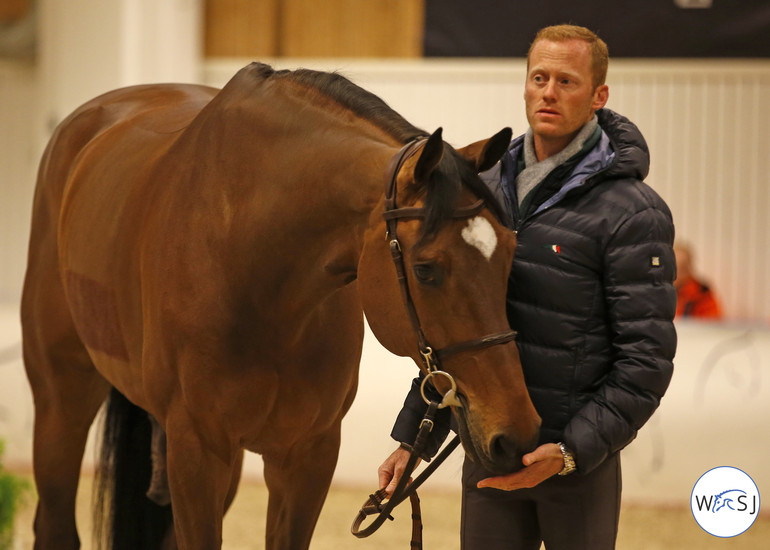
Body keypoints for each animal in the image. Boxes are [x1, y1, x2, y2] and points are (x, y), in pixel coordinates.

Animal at [21, 61, 536, 550]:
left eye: (511, 251)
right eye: (426, 269)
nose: (518, 434)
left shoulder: (306, 454)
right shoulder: (196, 449)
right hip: (62, 402)